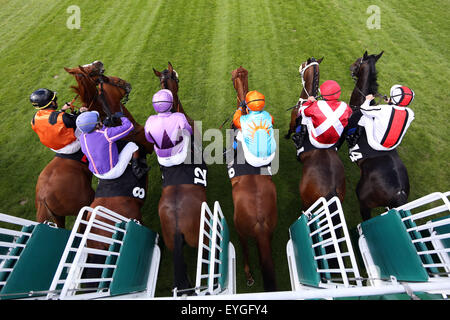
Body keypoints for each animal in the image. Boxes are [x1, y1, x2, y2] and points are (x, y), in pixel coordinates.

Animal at [286, 58, 346, 210]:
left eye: (303, 64)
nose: (299, 67)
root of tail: (332, 190)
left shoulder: (293, 121)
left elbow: (289, 129)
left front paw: (287, 136)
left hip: (307, 200)